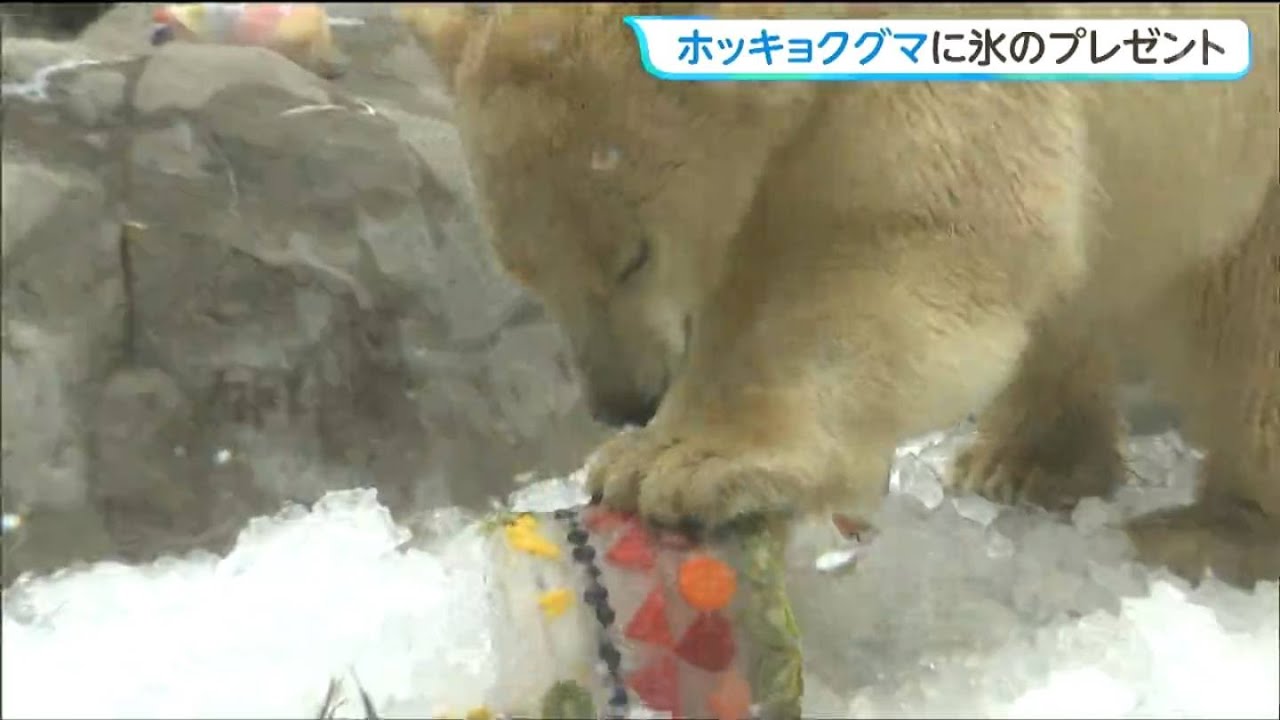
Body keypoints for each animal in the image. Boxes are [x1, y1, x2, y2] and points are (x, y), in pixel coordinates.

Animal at [407, 3, 1279, 586]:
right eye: (524, 271)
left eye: (633, 256)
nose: (622, 400)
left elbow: (899, 233)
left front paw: (680, 460)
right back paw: (1025, 461)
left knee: (1247, 329)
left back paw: (1211, 529)